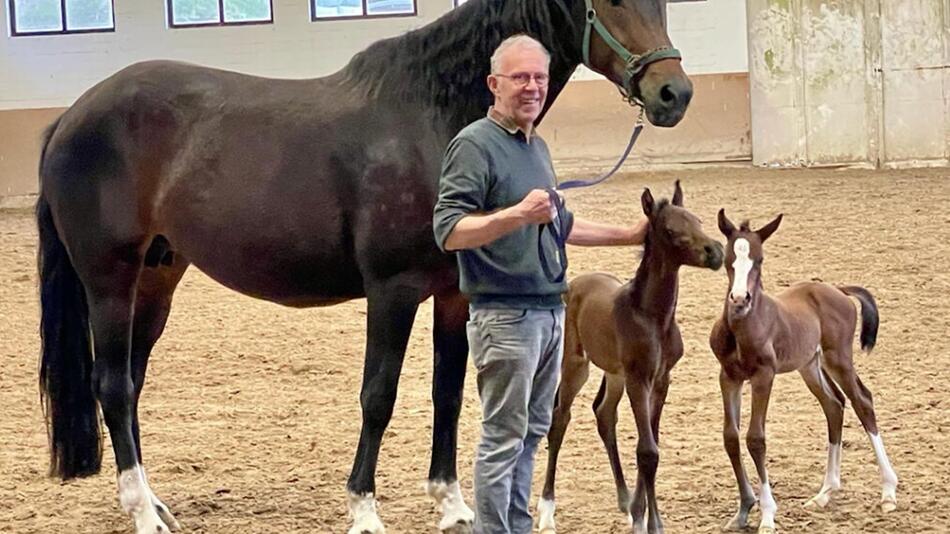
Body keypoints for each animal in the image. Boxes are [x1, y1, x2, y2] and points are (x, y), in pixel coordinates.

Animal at [37, 1, 696, 534]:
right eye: (612, 0)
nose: (674, 94)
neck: (433, 116)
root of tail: (72, 115)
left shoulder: (454, 295)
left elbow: (448, 393)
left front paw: (452, 505)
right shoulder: (393, 291)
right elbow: (378, 395)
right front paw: (363, 510)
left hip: (157, 278)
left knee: (130, 380)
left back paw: (152, 501)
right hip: (110, 279)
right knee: (113, 385)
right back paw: (143, 513)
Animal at [536, 182, 720, 532]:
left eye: (698, 220)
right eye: (671, 230)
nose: (715, 251)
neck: (652, 316)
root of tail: (575, 284)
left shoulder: (661, 380)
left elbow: (652, 442)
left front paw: (640, 511)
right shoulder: (639, 379)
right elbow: (648, 451)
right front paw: (652, 522)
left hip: (614, 373)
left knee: (604, 414)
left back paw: (623, 500)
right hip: (575, 366)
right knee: (559, 419)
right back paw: (546, 509)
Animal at [712, 213, 900, 534]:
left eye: (759, 259)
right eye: (728, 259)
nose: (739, 299)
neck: (744, 326)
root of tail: (839, 289)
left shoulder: (763, 376)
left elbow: (755, 439)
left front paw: (767, 515)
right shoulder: (730, 377)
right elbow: (731, 437)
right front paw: (741, 512)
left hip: (838, 359)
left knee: (862, 401)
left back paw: (888, 492)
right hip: (810, 366)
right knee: (834, 405)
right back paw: (825, 493)